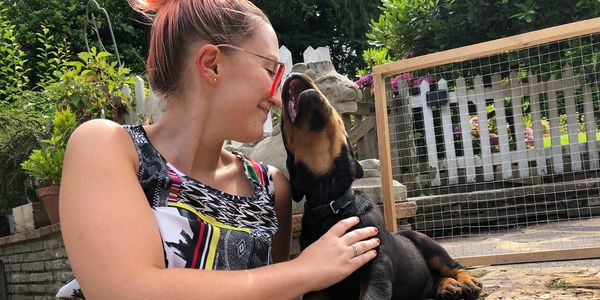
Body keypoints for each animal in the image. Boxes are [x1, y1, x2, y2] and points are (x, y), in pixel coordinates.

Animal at [282, 73, 482, 300]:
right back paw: (447, 286)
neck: (331, 202)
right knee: (435, 279)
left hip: (426, 243)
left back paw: (465, 282)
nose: (292, 74)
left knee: (454, 266)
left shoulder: (377, 262)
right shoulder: (318, 284)